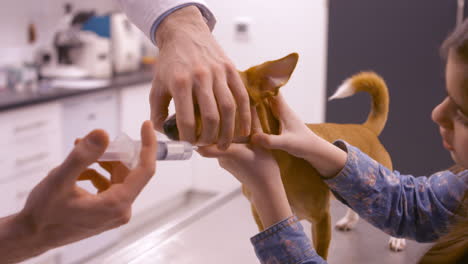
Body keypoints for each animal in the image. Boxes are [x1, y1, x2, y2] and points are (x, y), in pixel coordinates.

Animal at [162, 53, 406, 258]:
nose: (166, 125)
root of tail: (365, 129)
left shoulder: (321, 220)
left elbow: (320, 252)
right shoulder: (263, 218)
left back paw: (397, 238)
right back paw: (349, 220)